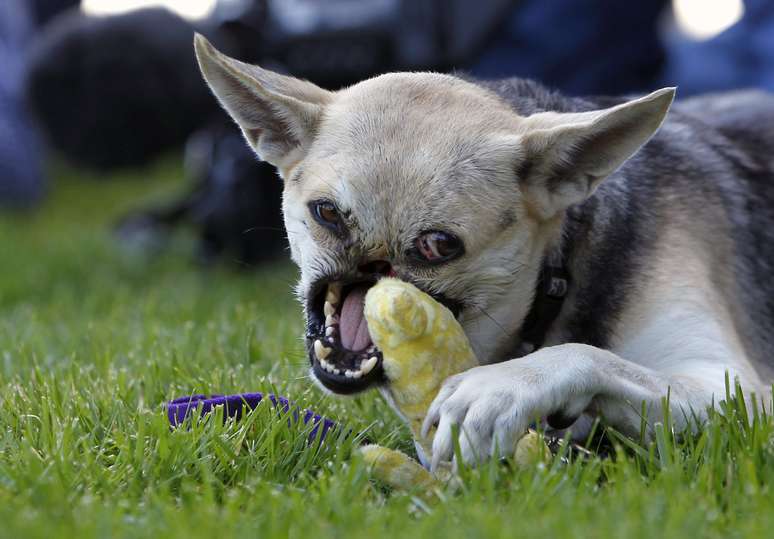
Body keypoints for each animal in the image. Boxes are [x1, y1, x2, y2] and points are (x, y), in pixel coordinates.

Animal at [194, 34, 774, 472]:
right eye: (327, 214)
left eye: (439, 246)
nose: (374, 272)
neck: (557, 279)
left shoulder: (738, 393)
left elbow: (585, 354)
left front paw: (502, 387)